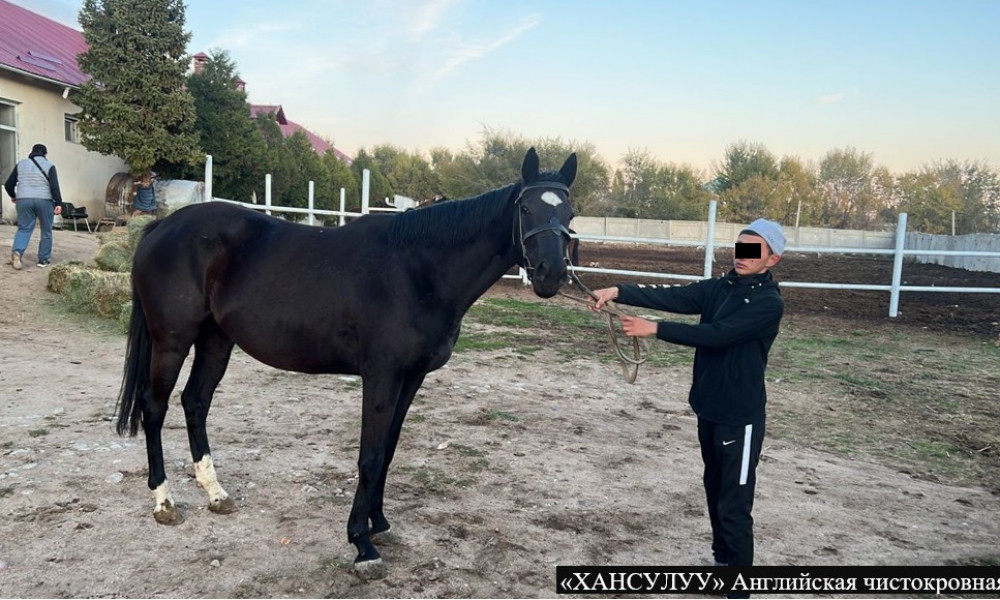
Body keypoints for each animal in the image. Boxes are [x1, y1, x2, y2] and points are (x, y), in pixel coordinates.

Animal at [115, 148, 580, 576]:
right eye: (525, 208)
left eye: (570, 211)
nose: (551, 273)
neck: (419, 269)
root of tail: (161, 227)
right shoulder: (381, 376)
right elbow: (369, 456)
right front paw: (361, 543)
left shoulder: (411, 379)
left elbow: (388, 450)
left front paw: (379, 522)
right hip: (172, 342)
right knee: (155, 408)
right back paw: (164, 501)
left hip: (215, 341)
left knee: (195, 403)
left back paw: (216, 494)